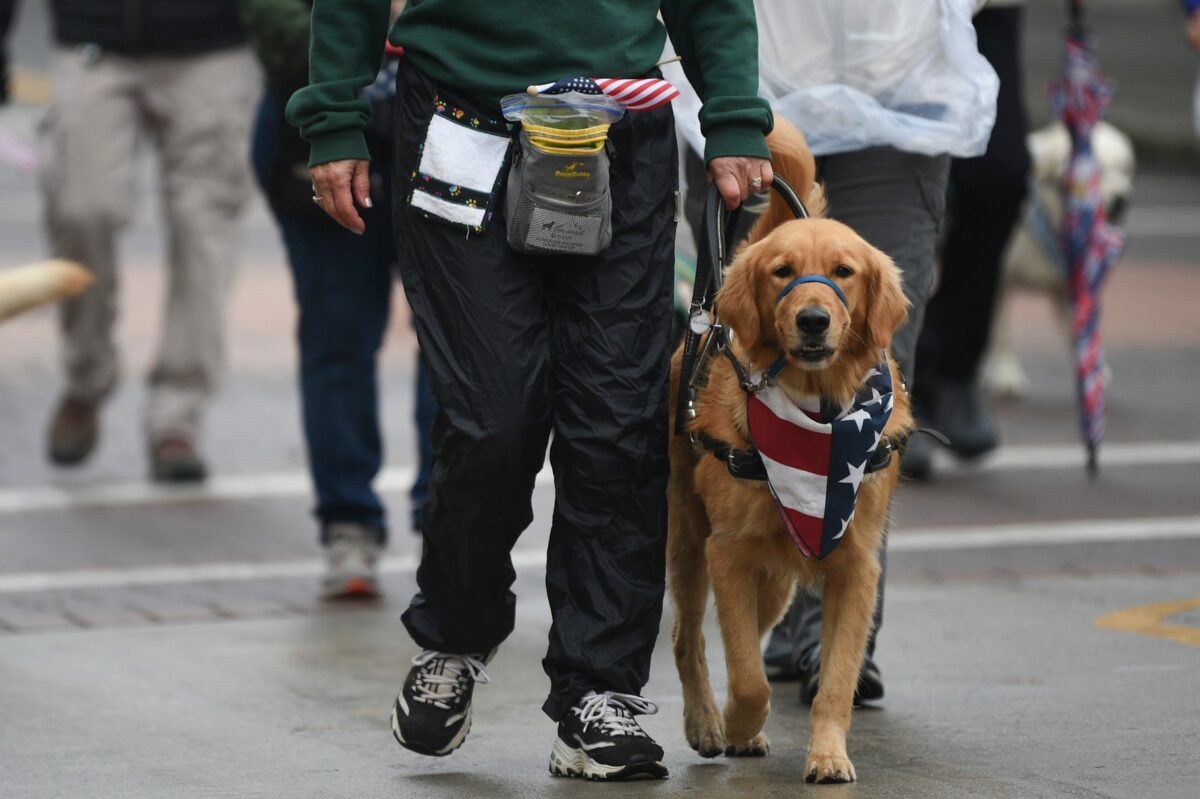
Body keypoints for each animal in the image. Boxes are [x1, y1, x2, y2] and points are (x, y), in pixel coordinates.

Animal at [667, 121, 907, 782]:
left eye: (844, 271)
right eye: (781, 271)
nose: (814, 320)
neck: (818, 413)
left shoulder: (855, 565)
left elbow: (836, 679)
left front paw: (827, 755)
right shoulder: (729, 554)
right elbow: (749, 677)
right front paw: (737, 721)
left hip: (776, 579)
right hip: (689, 542)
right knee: (689, 639)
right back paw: (707, 722)